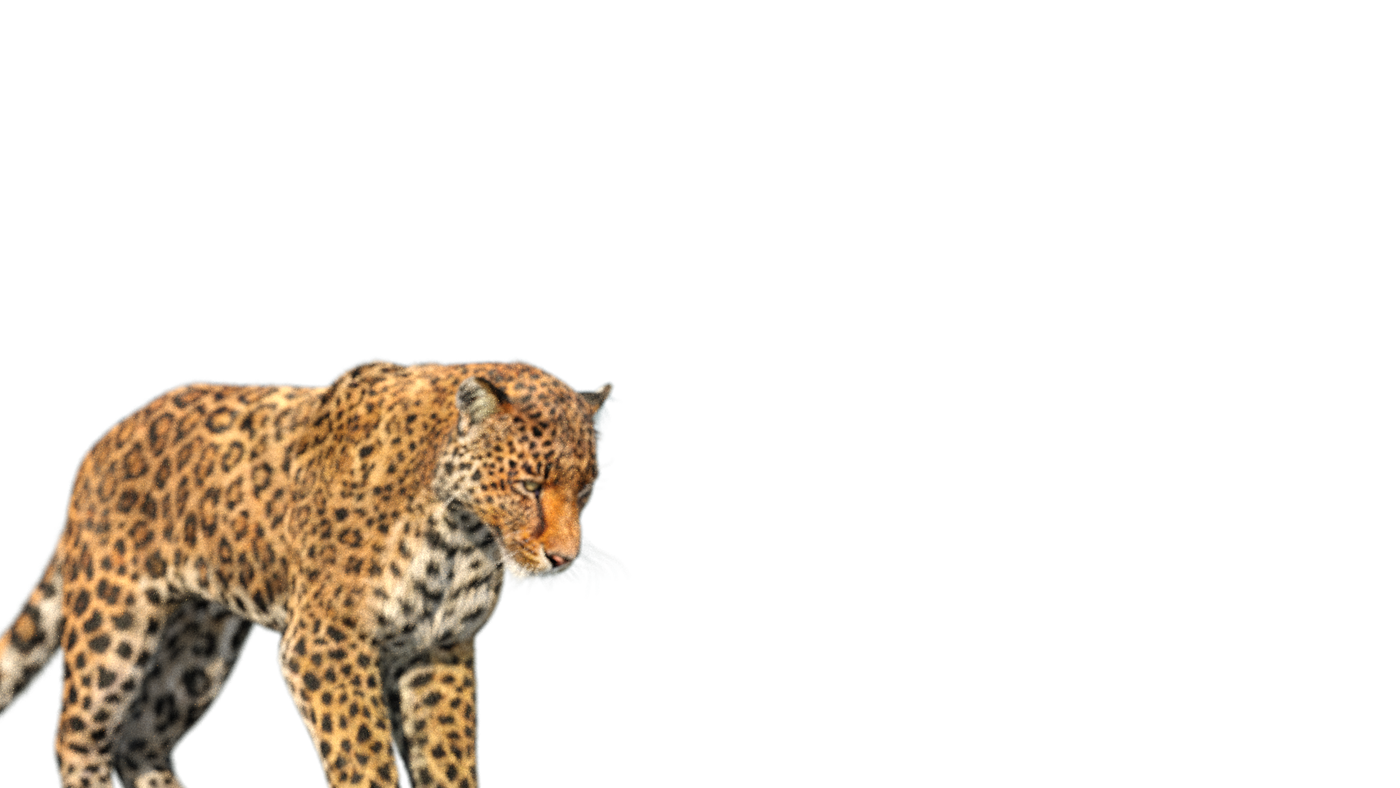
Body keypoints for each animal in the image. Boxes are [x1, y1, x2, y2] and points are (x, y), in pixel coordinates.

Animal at [0, 359, 615, 788]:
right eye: (528, 486)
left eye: (584, 490)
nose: (563, 557)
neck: (462, 534)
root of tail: (102, 443)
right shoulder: (327, 641)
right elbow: (364, 753)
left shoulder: (438, 648)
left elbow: (447, 755)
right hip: (116, 620)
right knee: (77, 735)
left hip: (199, 649)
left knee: (141, 740)